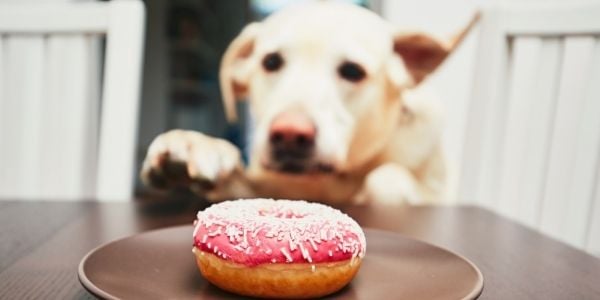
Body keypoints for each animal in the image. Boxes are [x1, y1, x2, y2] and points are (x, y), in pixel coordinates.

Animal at [142, 1, 478, 204]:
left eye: (353, 71)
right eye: (271, 62)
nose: (289, 134)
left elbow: (387, 177)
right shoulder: (268, 185)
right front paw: (195, 146)